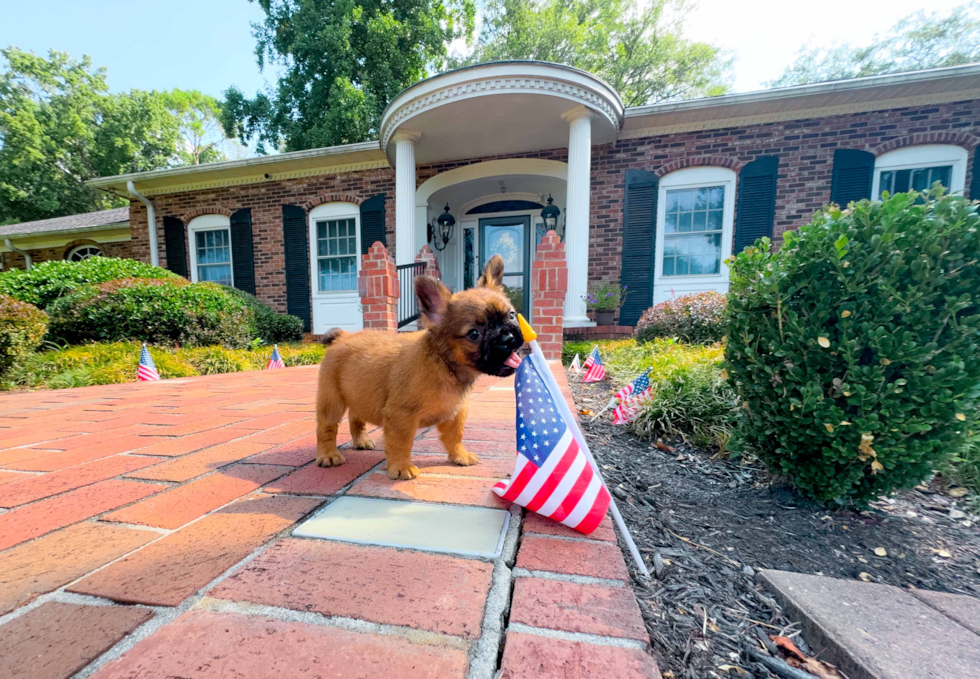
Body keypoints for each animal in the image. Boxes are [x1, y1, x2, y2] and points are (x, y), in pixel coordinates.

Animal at [318, 255, 524, 484]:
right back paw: (329, 455)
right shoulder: (401, 416)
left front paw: (459, 456)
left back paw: (361, 440)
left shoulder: (456, 413)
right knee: (326, 428)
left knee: (356, 416)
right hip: (332, 402)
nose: (508, 337)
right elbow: (401, 443)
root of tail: (342, 336)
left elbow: (455, 436)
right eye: (473, 334)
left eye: (512, 315)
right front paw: (401, 467)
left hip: (358, 394)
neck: (444, 364)